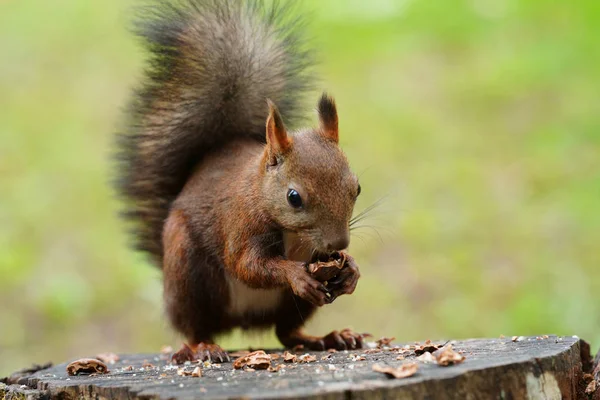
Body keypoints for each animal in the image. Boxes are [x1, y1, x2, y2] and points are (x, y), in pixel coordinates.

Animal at [115, 0, 364, 362]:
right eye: (293, 197)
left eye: (357, 188)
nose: (339, 244)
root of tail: (243, 322)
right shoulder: (240, 225)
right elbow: (247, 265)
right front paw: (296, 274)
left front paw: (352, 270)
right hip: (188, 276)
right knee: (194, 327)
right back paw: (203, 347)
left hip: (290, 306)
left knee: (287, 332)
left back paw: (327, 338)